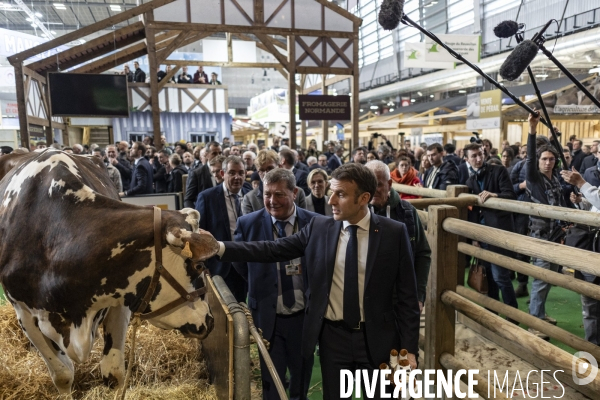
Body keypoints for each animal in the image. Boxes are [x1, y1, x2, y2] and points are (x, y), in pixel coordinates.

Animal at [0, 148, 218, 396]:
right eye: (198, 266)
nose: (210, 321)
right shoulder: (25, 314)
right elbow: (63, 375)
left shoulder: (121, 299)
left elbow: (113, 373)